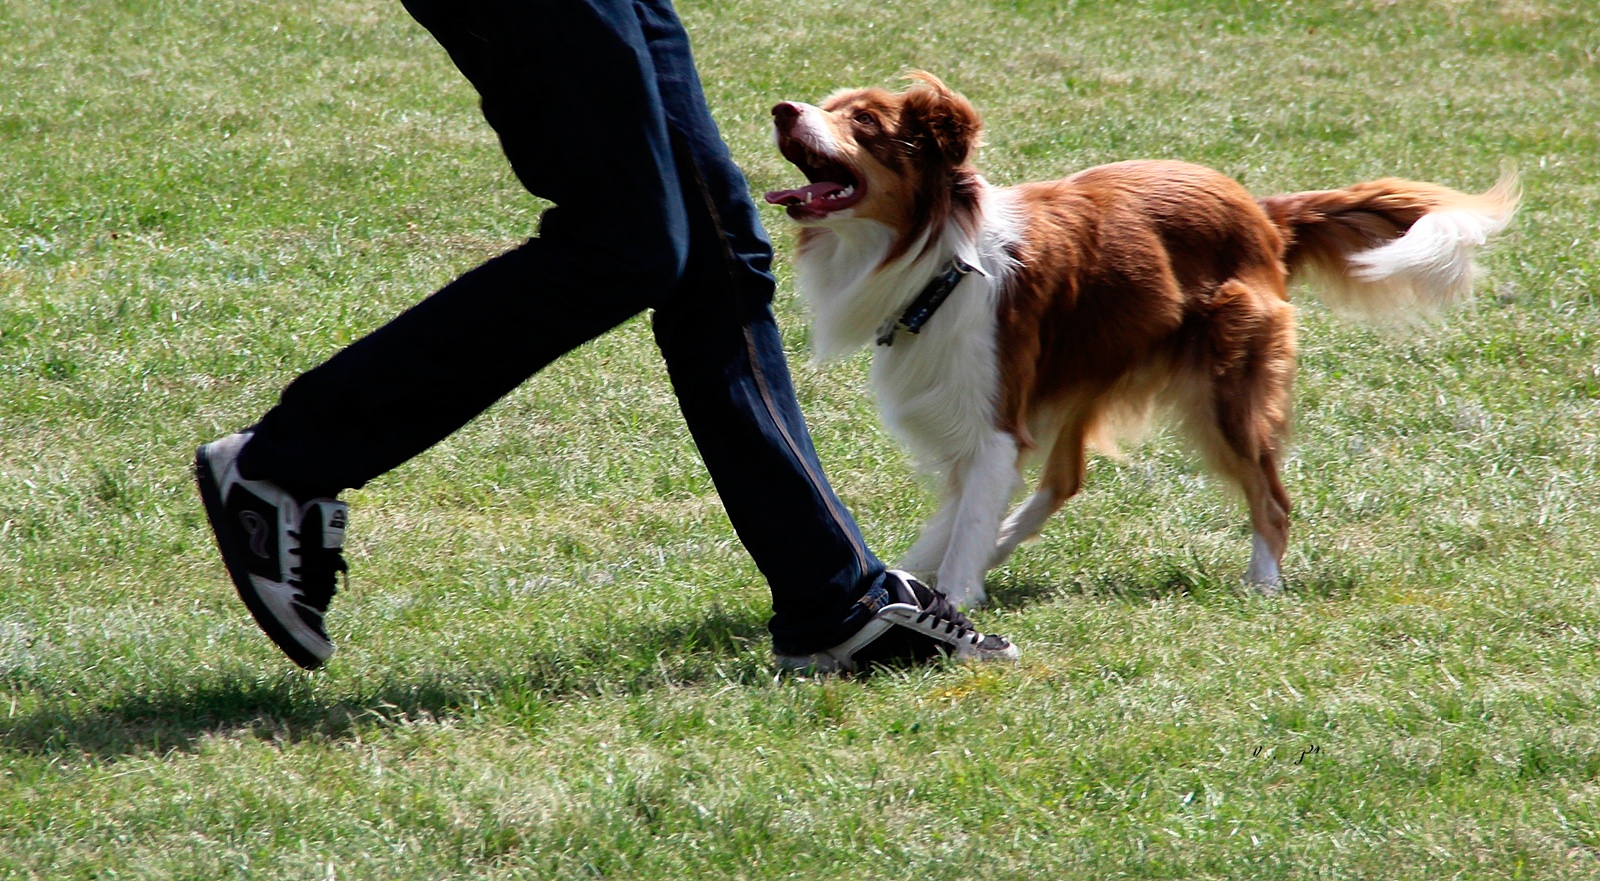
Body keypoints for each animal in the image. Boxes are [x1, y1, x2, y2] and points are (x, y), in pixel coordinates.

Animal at [768, 72, 1516, 610]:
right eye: (828, 106)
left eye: (863, 121)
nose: (781, 108)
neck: (936, 258)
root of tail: (1261, 212)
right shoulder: (977, 417)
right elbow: (955, 518)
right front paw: (915, 577)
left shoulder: (995, 421)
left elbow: (965, 524)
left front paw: (951, 602)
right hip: (1094, 366)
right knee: (1066, 479)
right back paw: (1008, 544)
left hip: (1224, 390)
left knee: (1271, 498)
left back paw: (1264, 583)